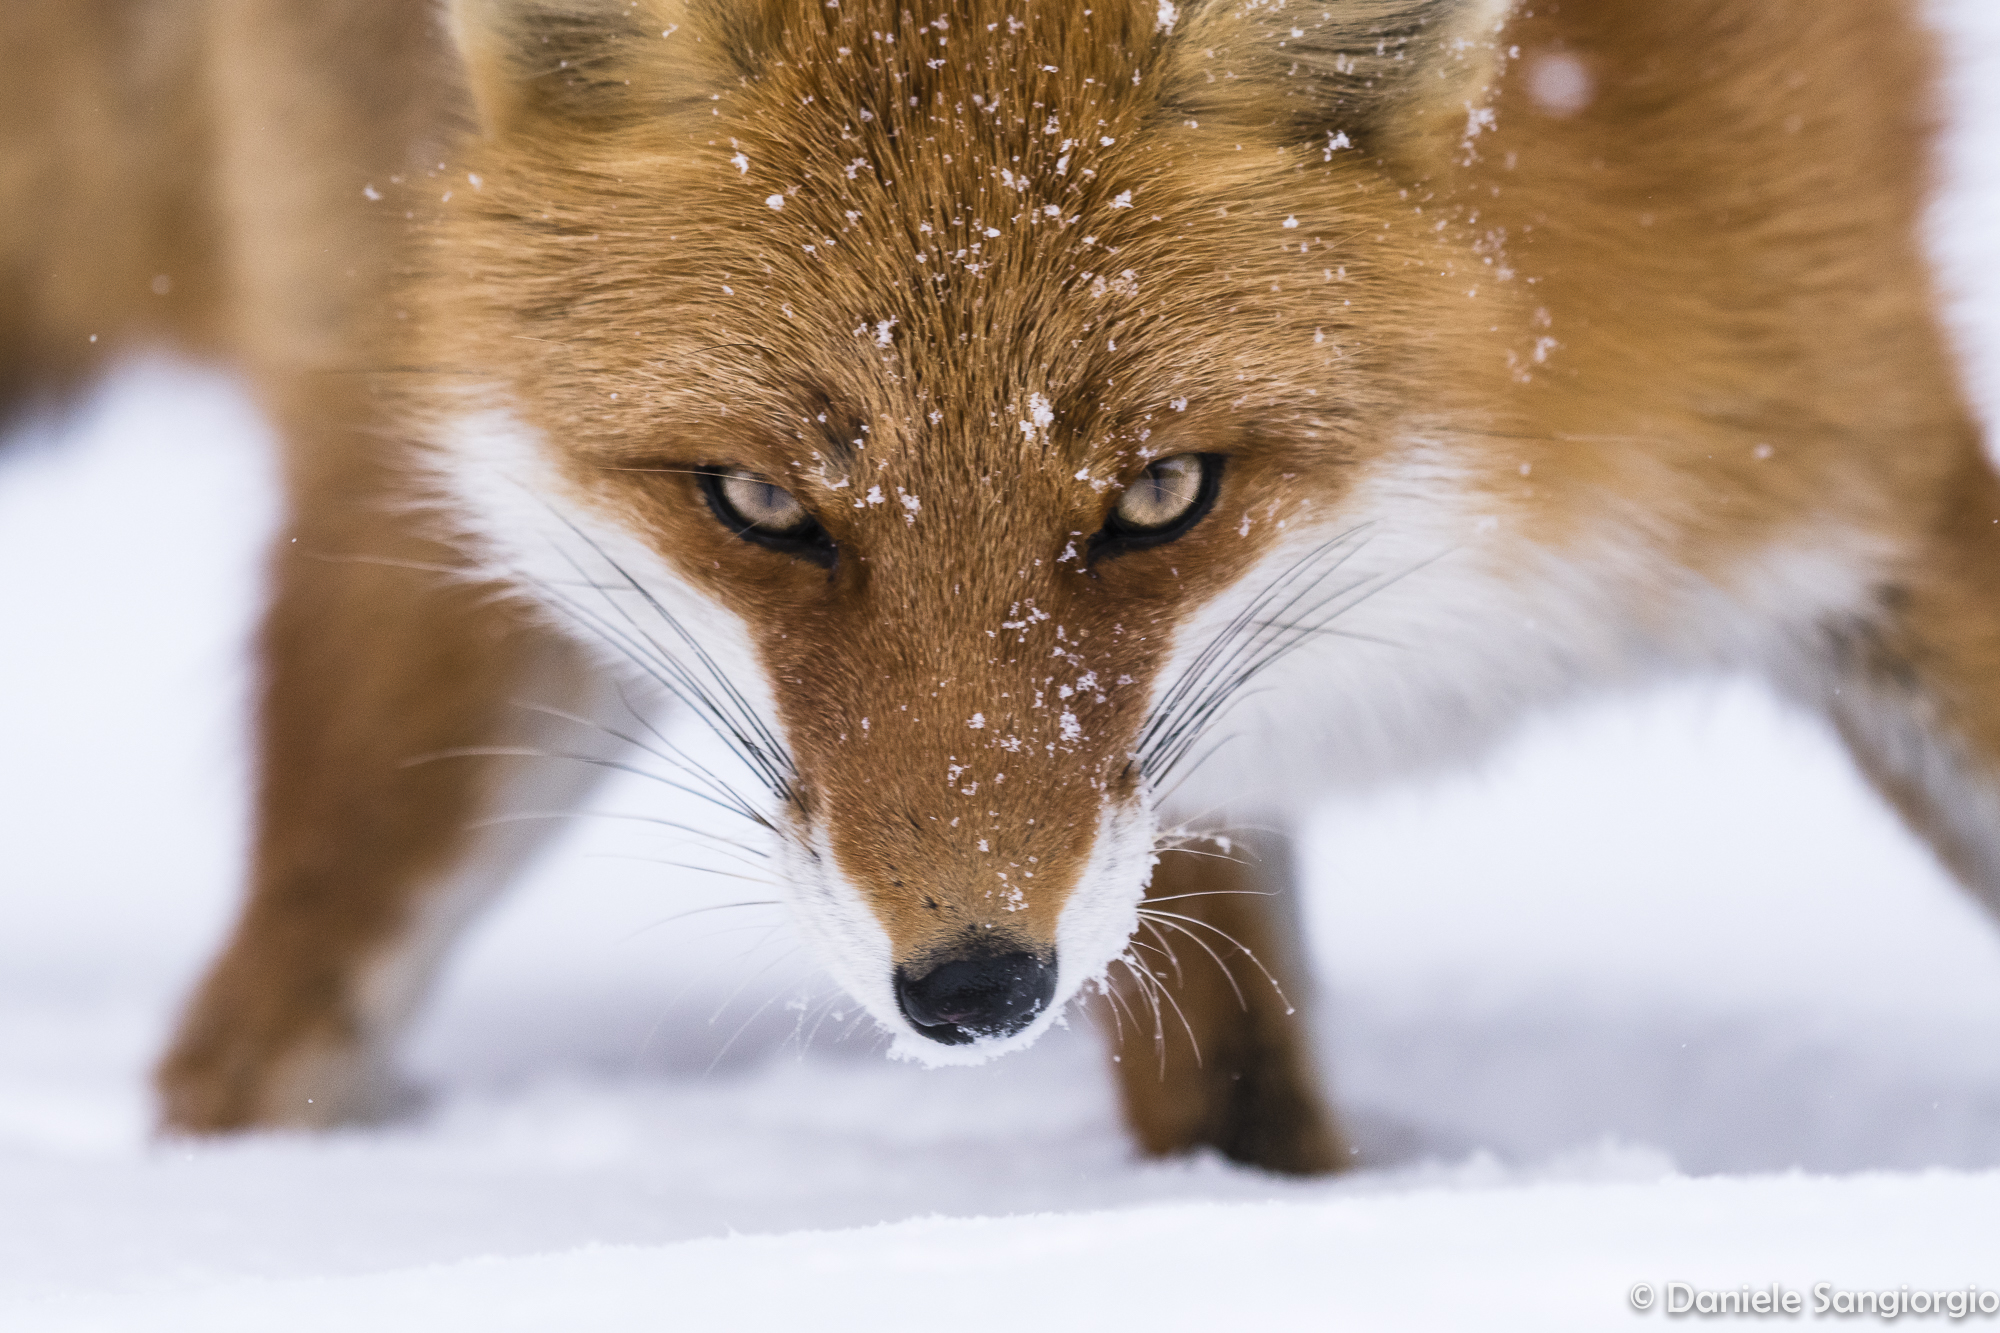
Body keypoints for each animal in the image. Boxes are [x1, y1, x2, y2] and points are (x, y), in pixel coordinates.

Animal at [2, 0, 1991, 1176]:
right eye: (760, 504)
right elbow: (1224, 1103)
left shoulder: (1844, 432)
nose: (969, 990)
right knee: (232, 1058)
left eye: (1161, 496)